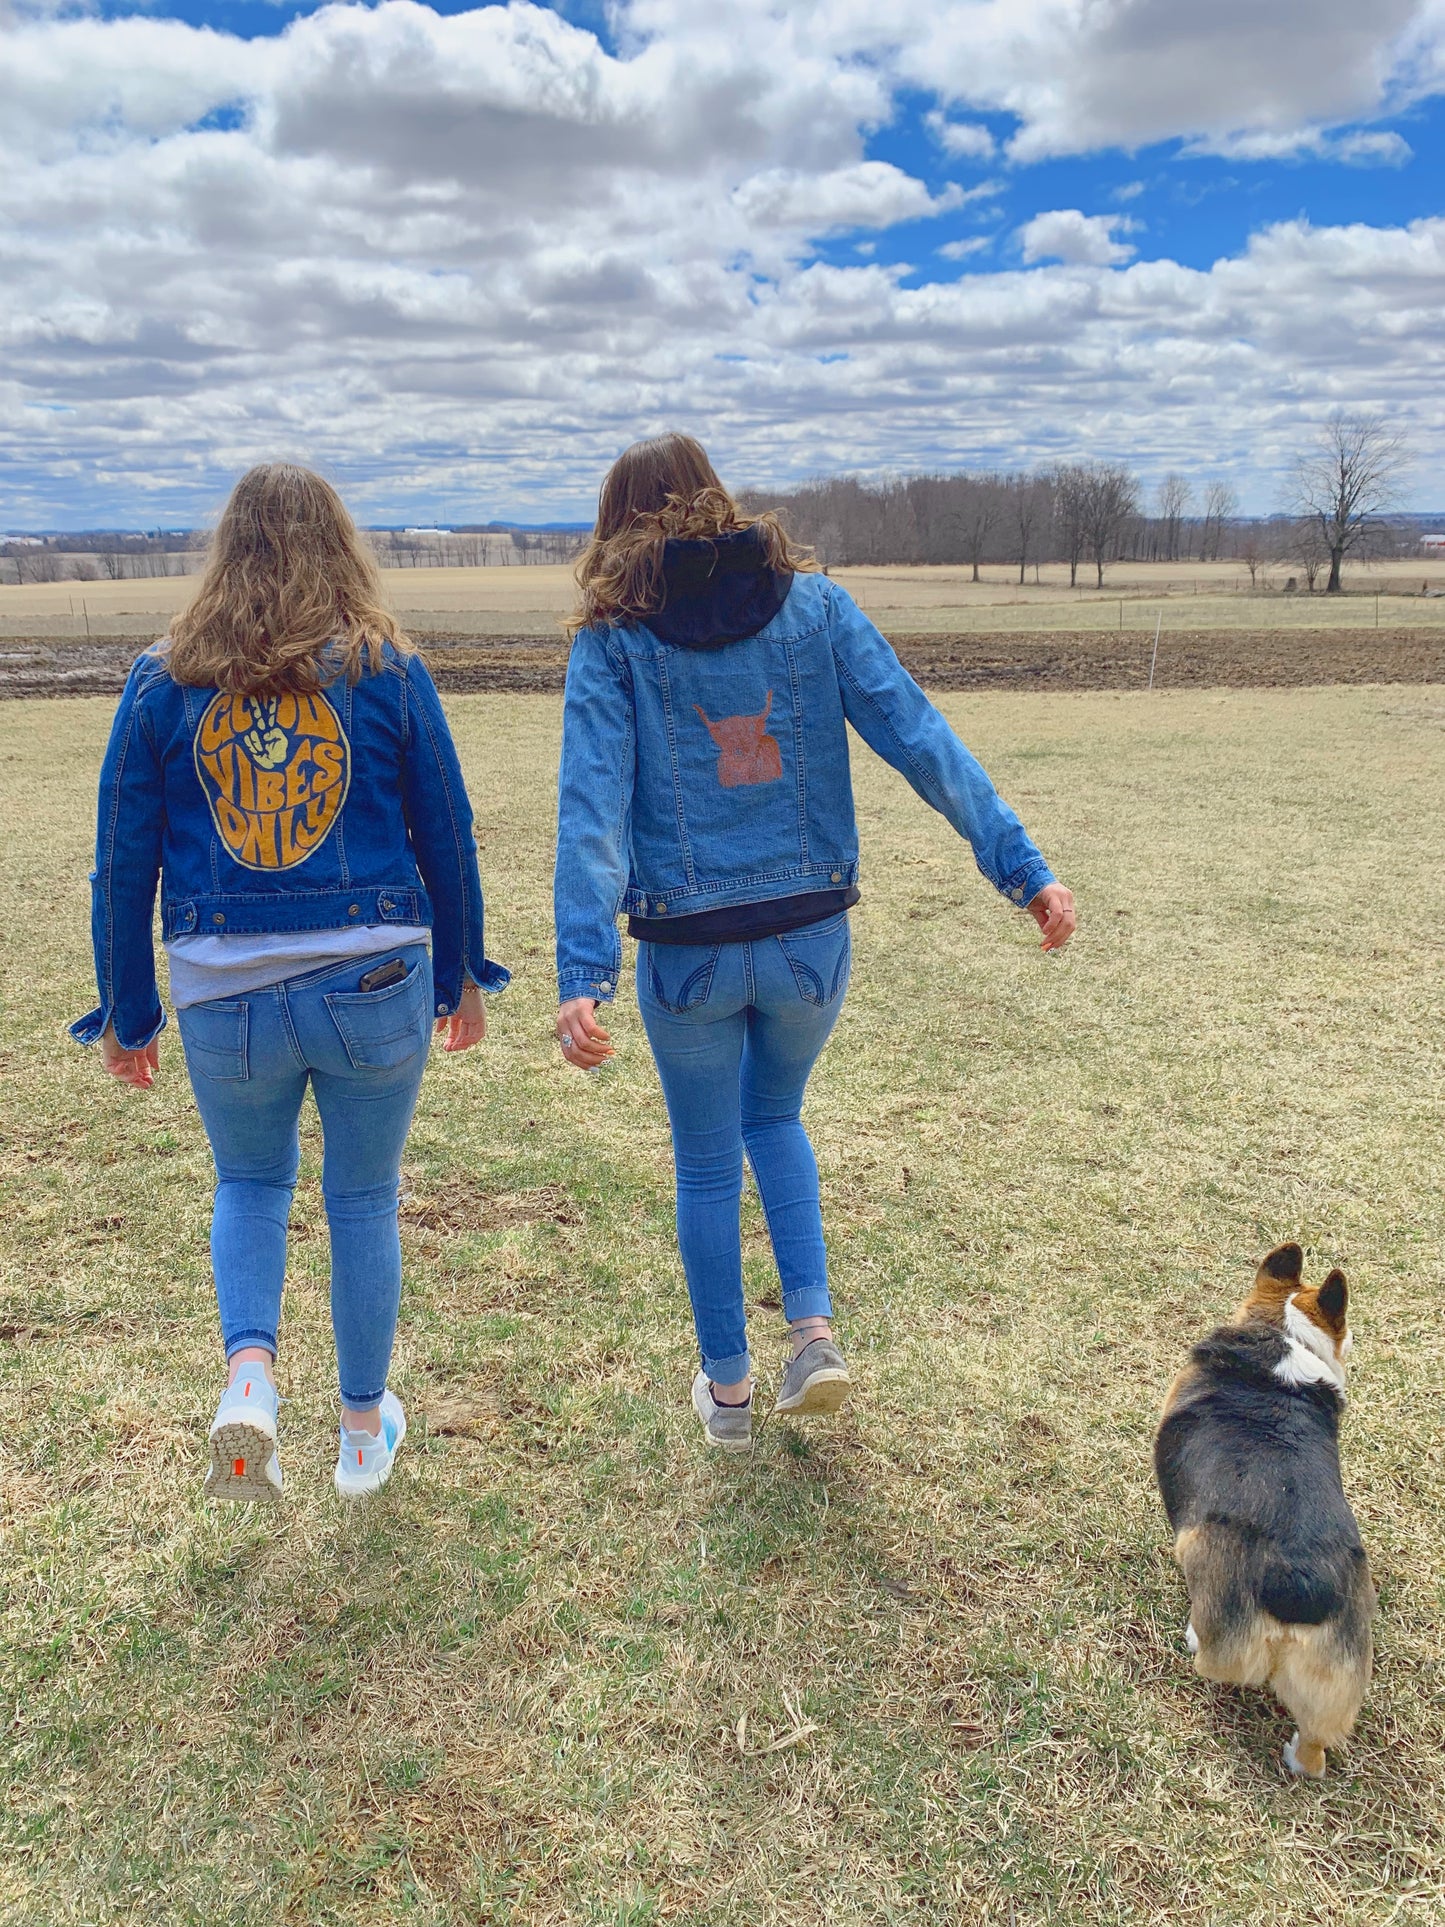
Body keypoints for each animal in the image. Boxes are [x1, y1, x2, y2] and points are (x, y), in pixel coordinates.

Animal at [1156, 1248, 1379, 1772]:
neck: (1285, 1335)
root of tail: (1301, 1579)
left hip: (1216, 1601)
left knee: (1214, 1661)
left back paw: (1192, 1638)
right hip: (1335, 1678)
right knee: (1316, 1744)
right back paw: (1298, 1759)